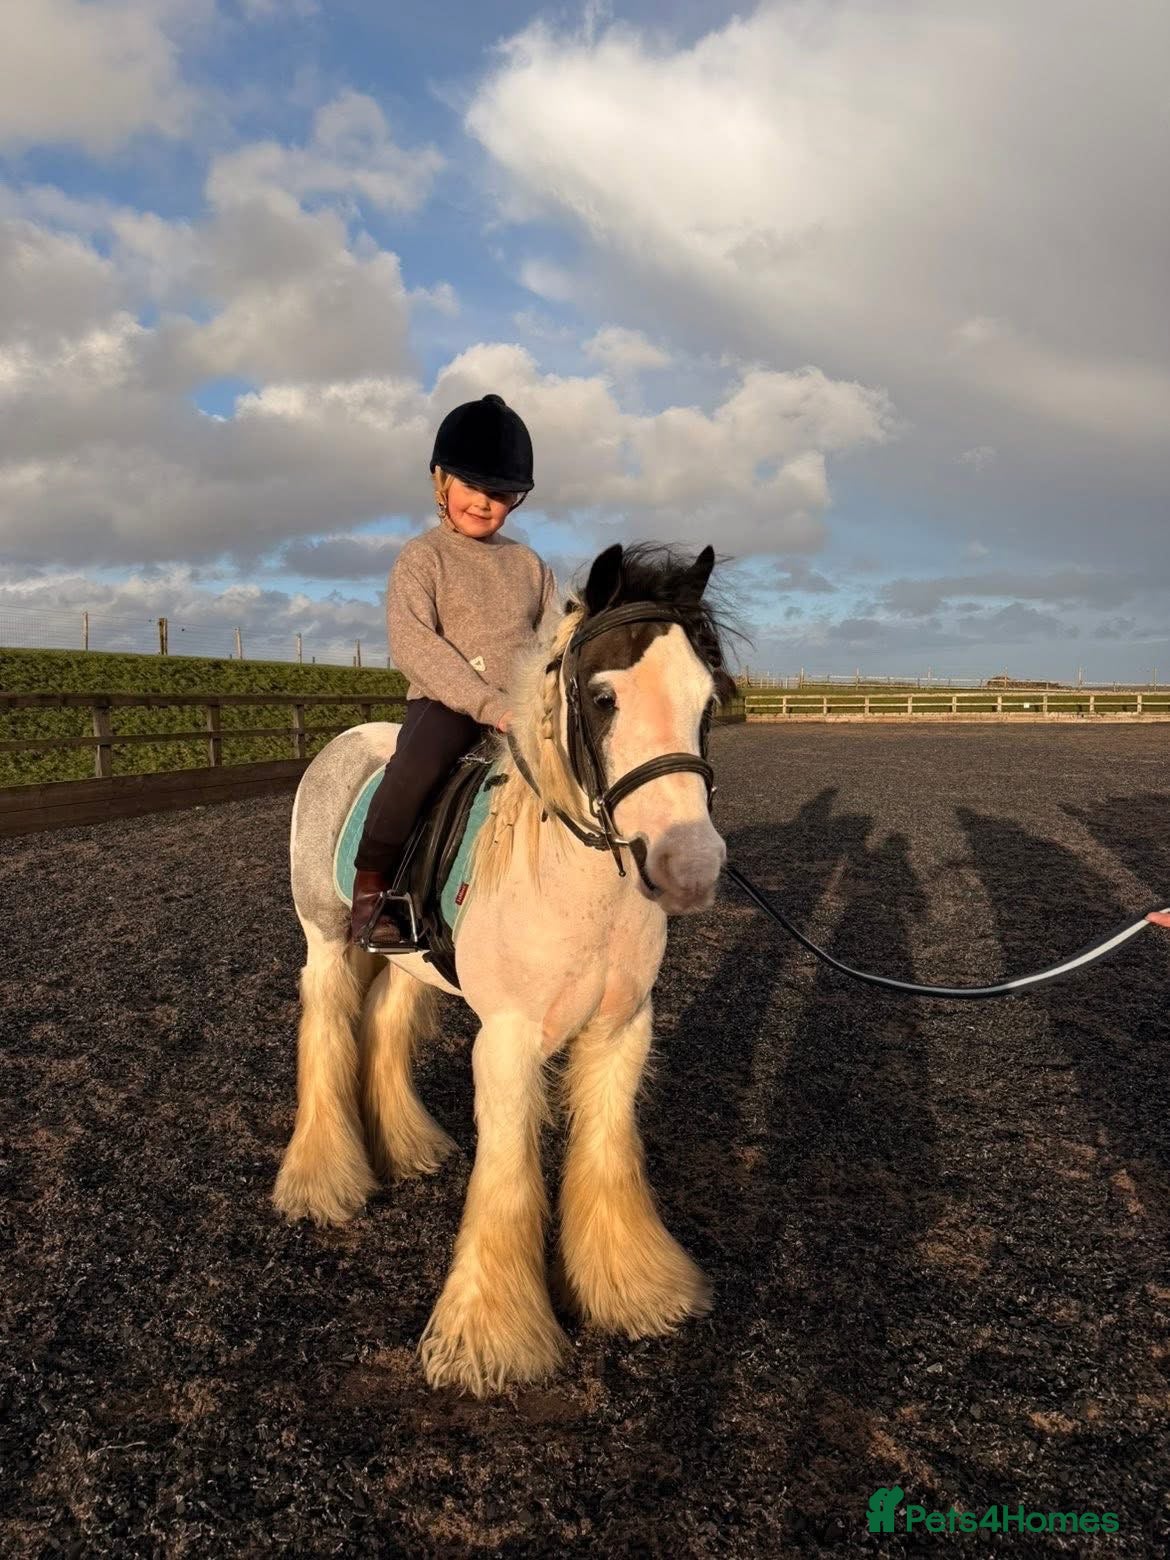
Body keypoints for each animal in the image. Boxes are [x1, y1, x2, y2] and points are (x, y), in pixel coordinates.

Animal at [274, 539, 740, 1396]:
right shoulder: (508, 1040)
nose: (689, 869)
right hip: (323, 939)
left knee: (385, 1022)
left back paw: (410, 1147)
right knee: (326, 1029)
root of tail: (349, 740)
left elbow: (607, 1154)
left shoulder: (624, 1029)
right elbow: (508, 1175)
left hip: (409, 962)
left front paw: (635, 1290)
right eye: (602, 698)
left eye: (707, 700)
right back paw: (323, 1183)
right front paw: (489, 1339)